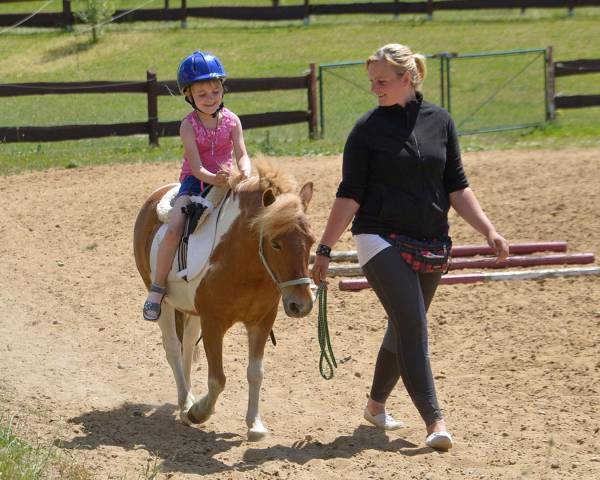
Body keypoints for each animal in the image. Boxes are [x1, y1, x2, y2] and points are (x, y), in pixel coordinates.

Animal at [134, 163, 316, 440]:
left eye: (311, 242)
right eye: (275, 243)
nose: (302, 304)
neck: (243, 263)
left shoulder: (262, 322)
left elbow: (255, 373)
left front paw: (255, 424)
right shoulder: (213, 324)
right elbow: (218, 379)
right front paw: (198, 413)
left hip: (191, 310)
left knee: (187, 344)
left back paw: (187, 398)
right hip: (163, 303)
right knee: (173, 348)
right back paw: (186, 403)